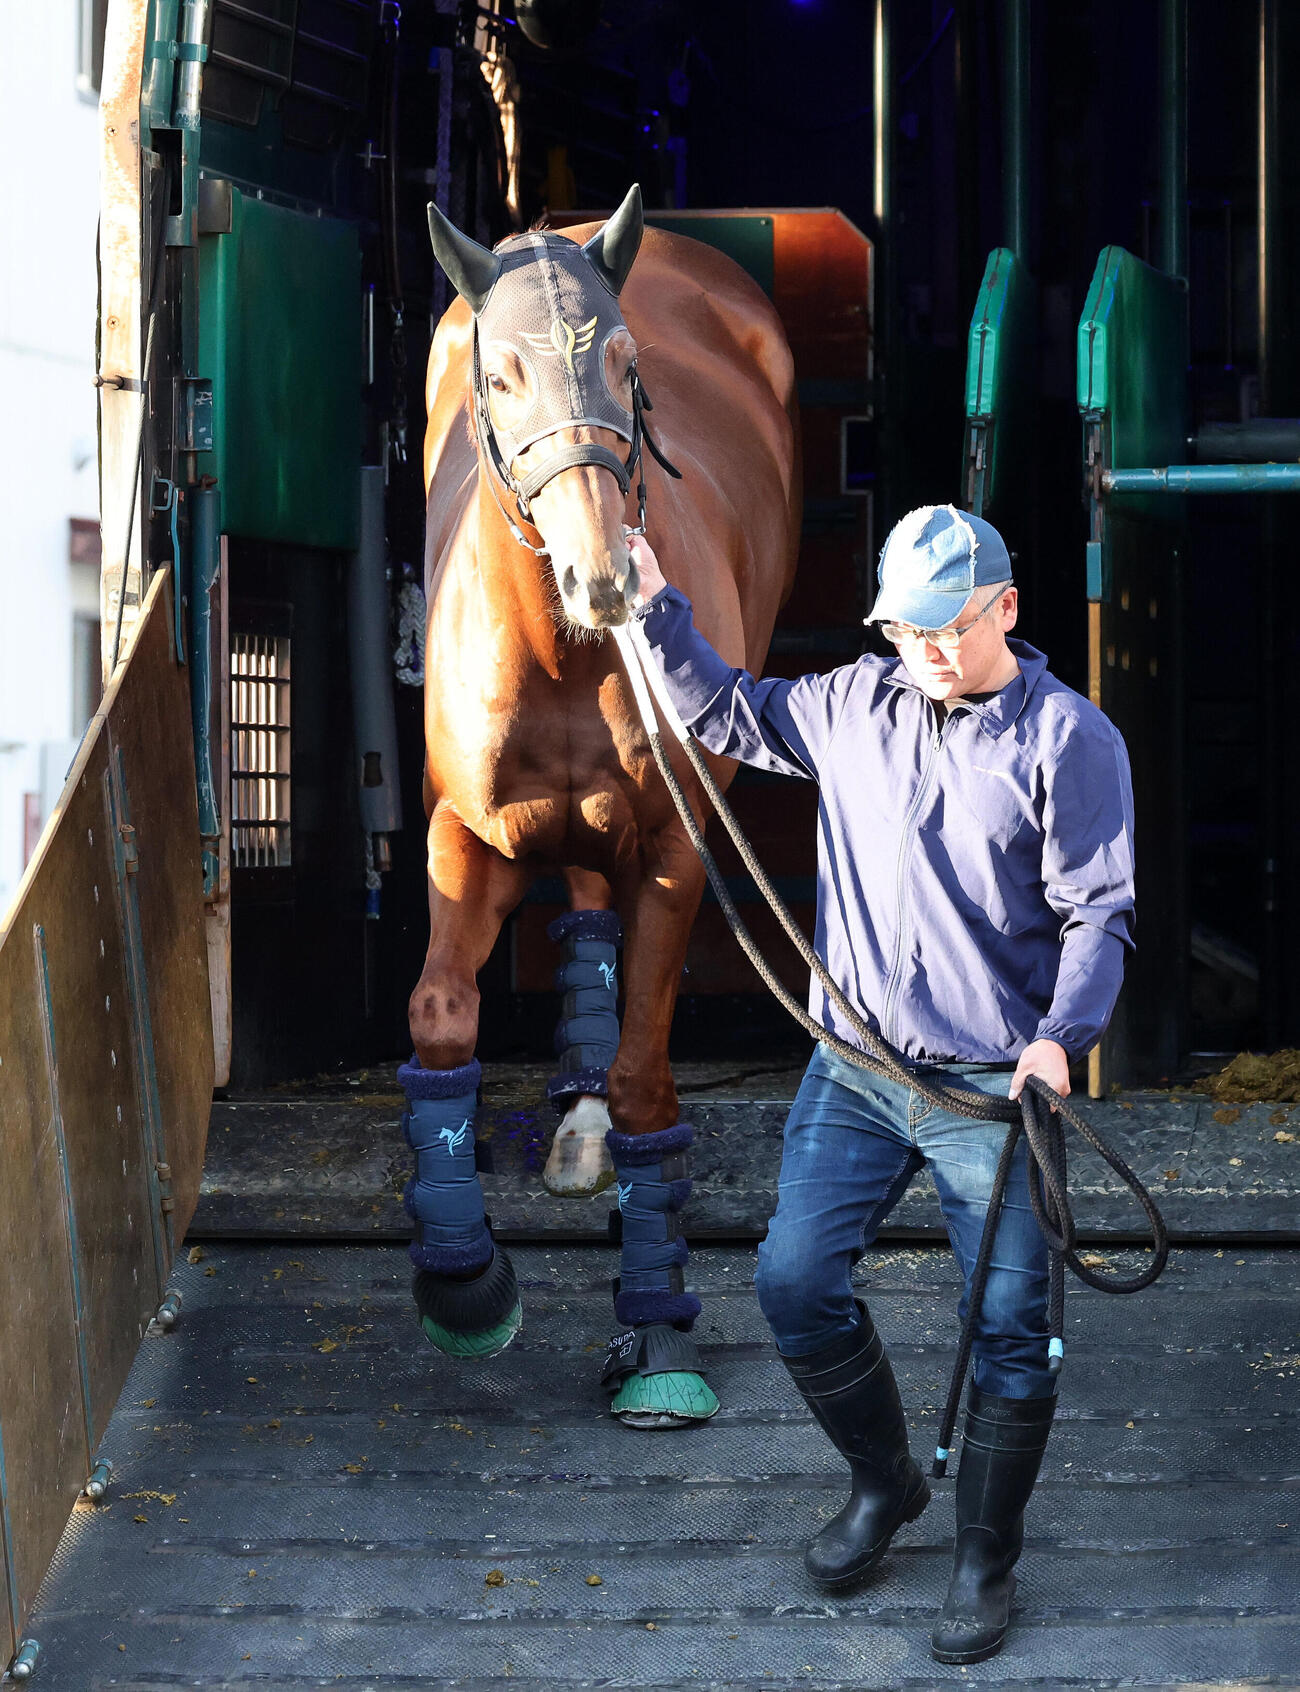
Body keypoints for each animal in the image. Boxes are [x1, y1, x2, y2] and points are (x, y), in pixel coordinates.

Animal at [401, 186, 800, 1427]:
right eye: (501, 376)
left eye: (628, 368)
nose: (604, 580)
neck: (559, 654)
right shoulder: (461, 840)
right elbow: (442, 1018)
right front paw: (464, 1284)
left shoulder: (674, 848)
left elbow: (643, 1076)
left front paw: (654, 1324)